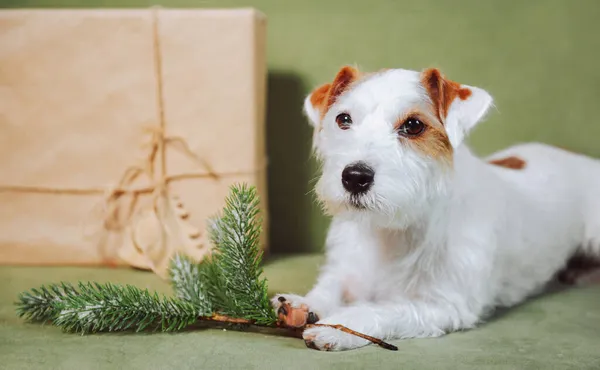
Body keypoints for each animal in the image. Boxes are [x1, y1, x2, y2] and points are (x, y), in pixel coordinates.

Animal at [274, 65, 600, 352]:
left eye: (413, 125)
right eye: (343, 119)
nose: (354, 177)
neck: (390, 228)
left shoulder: (443, 305)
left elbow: (382, 310)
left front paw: (338, 326)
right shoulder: (346, 270)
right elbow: (329, 288)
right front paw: (301, 304)